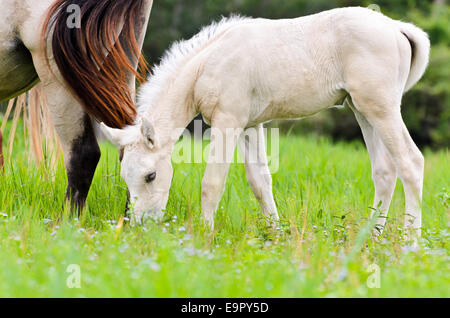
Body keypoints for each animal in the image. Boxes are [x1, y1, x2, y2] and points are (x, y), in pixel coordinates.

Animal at [102, 6, 428, 241]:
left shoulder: (228, 121)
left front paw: (205, 236)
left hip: (381, 108)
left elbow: (212, 182)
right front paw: (274, 234)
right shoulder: (250, 126)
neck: (206, 66)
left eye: (151, 176)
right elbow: (260, 181)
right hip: (362, 110)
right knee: (384, 171)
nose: (143, 227)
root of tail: (397, 28)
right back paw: (372, 236)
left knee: (411, 161)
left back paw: (411, 241)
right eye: (125, 176)